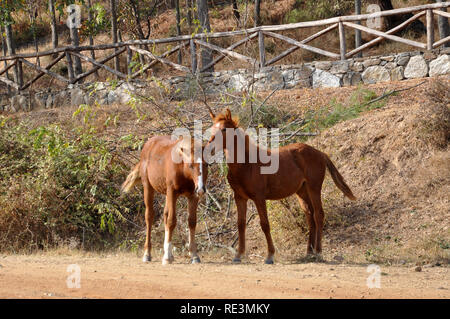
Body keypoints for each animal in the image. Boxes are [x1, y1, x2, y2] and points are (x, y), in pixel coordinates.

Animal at [122, 136, 208, 264]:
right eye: (191, 165)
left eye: (207, 165)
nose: (201, 189)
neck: (181, 168)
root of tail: (149, 143)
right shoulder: (172, 192)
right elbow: (172, 221)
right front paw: (166, 257)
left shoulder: (193, 195)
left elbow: (192, 222)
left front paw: (194, 255)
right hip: (148, 188)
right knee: (149, 217)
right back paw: (147, 254)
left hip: (167, 194)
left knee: (165, 215)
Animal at [206, 110, 356, 264]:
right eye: (212, 128)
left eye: (224, 129)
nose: (209, 148)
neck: (246, 164)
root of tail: (321, 153)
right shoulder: (239, 197)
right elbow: (241, 224)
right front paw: (238, 255)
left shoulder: (259, 198)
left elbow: (265, 224)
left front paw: (270, 255)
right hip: (302, 192)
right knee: (310, 216)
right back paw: (309, 252)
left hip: (314, 188)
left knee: (318, 215)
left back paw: (319, 252)